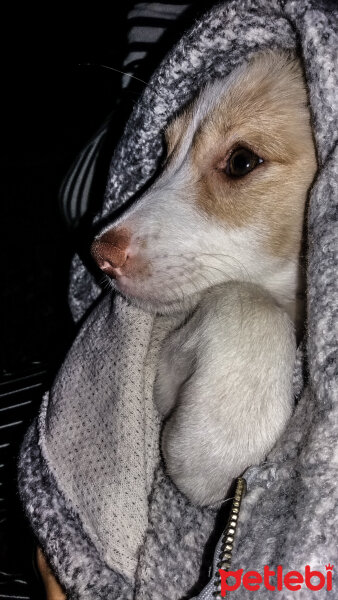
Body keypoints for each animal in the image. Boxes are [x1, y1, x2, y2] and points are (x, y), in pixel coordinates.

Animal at [90, 49, 316, 504]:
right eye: (163, 155)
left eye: (241, 161)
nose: (100, 256)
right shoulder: (166, 363)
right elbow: (248, 299)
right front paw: (222, 438)